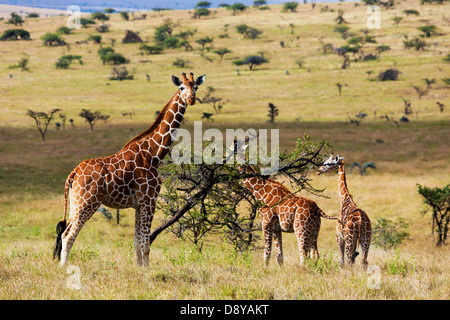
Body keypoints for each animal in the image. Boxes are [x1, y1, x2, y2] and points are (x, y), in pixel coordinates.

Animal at [53, 73, 206, 268]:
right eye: (181, 87)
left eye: (196, 87)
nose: (191, 99)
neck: (153, 153)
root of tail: (73, 173)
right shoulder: (149, 200)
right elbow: (146, 243)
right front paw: (148, 271)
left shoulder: (138, 204)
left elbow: (136, 242)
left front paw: (140, 268)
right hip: (87, 202)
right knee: (68, 235)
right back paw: (64, 268)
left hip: (75, 202)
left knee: (65, 231)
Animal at [227, 140, 336, 268]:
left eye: (230, 149)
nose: (223, 156)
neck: (262, 193)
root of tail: (318, 209)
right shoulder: (276, 229)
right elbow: (279, 256)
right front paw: (281, 270)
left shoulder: (266, 224)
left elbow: (267, 253)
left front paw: (264, 270)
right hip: (315, 231)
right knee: (315, 254)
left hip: (301, 230)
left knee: (303, 255)